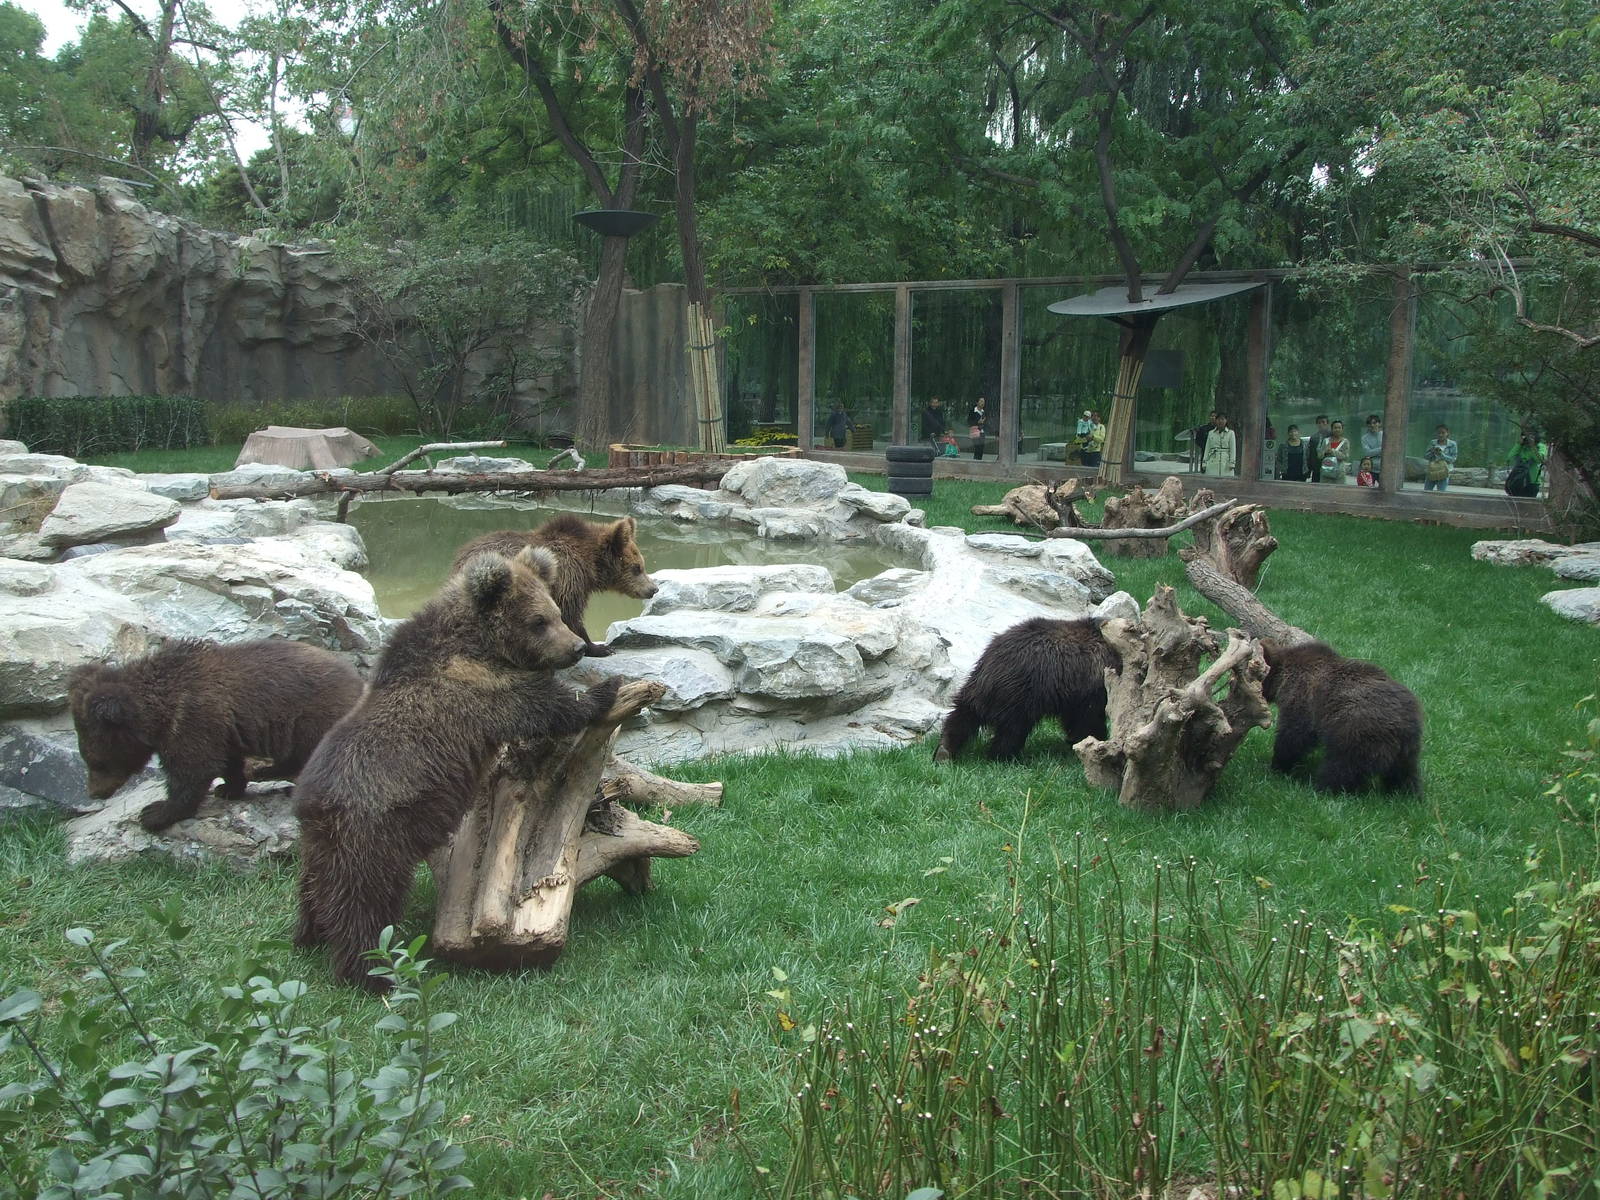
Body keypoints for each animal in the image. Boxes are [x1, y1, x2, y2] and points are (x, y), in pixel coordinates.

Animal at [67, 639, 365, 832]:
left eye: (96, 762)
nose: (95, 792)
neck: (158, 713)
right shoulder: (223, 727)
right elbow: (225, 760)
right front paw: (228, 788)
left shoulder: (192, 718)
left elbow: (193, 769)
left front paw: (155, 812)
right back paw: (267, 771)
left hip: (313, 720)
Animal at [292, 544, 623, 990]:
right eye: (539, 621)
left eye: (555, 612)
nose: (577, 648)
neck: (480, 644)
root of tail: (313, 802)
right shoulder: (482, 690)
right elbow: (543, 705)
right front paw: (603, 690)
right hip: (375, 832)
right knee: (364, 901)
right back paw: (370, 971)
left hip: (325, 843)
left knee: (315, 885)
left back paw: (307, 933)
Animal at [449, 514, 658, 657]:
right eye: (637, 568)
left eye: (642, 564)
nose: (653, 589)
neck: (589, 563)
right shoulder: (568, 580)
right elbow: (571, 616)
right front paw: (599, 648)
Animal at [934, 617, 1120, 762]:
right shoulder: (1091, 686)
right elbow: (1088, 720)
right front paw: (1095, 742)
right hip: (1022, 695)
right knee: (1012, 731)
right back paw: (1005, 757)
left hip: (976, 686)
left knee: (962, 715)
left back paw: (944, 751)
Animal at [1261, 639, 1422, 795]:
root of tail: (1405, 722)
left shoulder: (1302, 700)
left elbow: (1293, 736)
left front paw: (1278, 764)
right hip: (1407, 749)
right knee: (1404, 773)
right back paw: (1406, 793)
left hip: (1356, 730)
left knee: (1343, 766)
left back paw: (1324, 787)